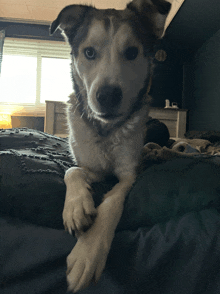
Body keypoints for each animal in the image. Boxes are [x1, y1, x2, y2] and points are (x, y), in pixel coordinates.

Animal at [50, 0, 171, 292]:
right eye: (89, 52)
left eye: (131, 52)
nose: (107, 96)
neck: (106, 131)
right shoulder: (89, 167)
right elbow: (73, 170)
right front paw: (76, 207)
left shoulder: (129, 174)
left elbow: (113, 199)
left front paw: (89, 252)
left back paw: (157, 152)